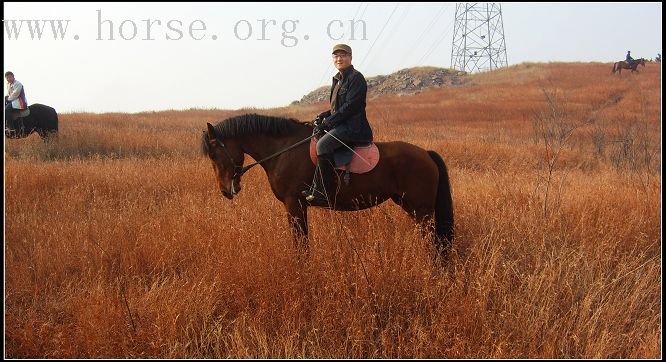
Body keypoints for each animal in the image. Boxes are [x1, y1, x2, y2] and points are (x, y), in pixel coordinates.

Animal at [200, 113, 454, 258]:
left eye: (213, 154)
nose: (226, 190)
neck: (284, 149)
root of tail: (426, 154)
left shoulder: (294, 204)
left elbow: (301, 243)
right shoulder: (296, 207)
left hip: (421, 210)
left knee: (435, 243)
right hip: (413, 208)